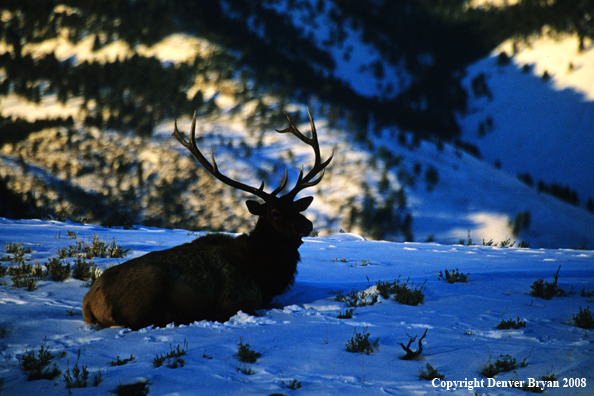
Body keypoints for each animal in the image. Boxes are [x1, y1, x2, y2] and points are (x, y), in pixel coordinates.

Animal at [82, 110, 332, 330]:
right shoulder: (239, 300)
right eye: (275, 213)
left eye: (296, 207)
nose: (308, 224)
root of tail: (89, 303)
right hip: (146, 292)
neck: (263, 271)